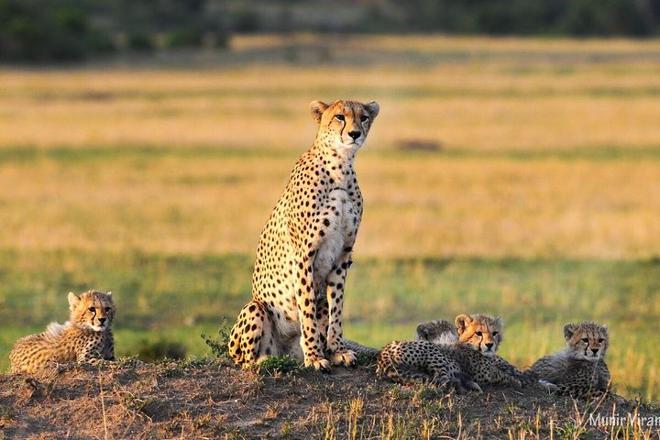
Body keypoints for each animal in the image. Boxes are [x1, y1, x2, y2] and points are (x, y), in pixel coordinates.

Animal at [229, 99, 378, 372]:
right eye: (339, 117)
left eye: (363, 117)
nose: (354, 134)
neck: (340, 166)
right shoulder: (304, 256)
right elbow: (306, 308)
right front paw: (314, 356)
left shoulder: (343, 256)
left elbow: (336, 307)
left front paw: (337, 351)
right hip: (255, 308)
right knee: (244, 361)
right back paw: (265, 360)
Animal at [378, 314, 524, 390]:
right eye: (478, 333)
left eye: (494, 333)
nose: (489, 345)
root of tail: (384, 352)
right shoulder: (484, 373)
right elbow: (502, 375)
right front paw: (517, 381)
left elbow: (506, 367)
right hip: (436, 355)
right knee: (442, 381)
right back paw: (466, 384)